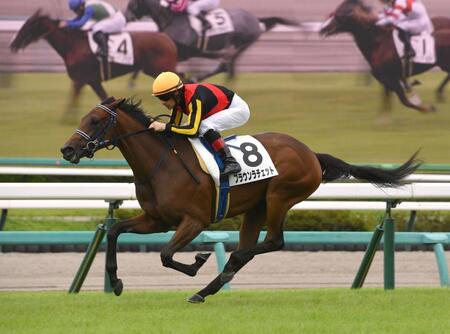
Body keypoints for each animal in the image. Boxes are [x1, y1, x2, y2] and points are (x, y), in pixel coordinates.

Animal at [9, 9, 177, 123]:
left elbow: (74, 97)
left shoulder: (80, 79)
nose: (13, 44)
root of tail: (167, 39)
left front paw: (66, 120)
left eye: (29, 25)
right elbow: (102, 97)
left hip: (161, 70)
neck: (73, 45)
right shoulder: (92, 81)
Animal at [125, 0, 298, 81]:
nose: (126, 17)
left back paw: (198, 77)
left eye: (132, 4)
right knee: (227, 65)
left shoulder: (182, 52)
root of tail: (255, 19)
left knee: (224, 64)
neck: (171, 19)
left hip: (241, 44)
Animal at [318, 0, 450, 117]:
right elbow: (387, 97)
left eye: (338, 15)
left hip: (445, 64)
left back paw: (438, 93)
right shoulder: (386, 78)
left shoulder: (392, 77)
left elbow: (404, 100)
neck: (379, 42)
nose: (322, 29)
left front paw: (428, 108)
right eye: (334, 13)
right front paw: (384, 118)